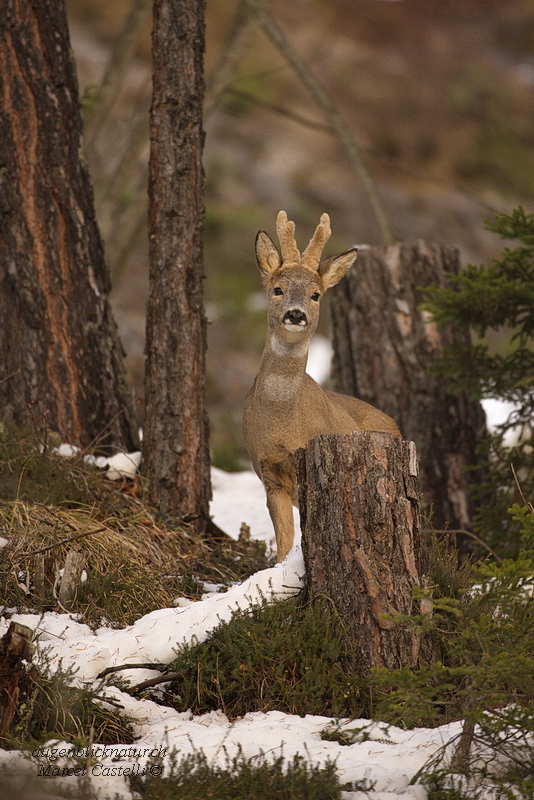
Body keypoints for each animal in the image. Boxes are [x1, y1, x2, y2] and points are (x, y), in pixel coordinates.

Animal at [243, 212, 402, 564]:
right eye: (278, 289)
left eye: (315, 295)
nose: (295, 314)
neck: (283, 422)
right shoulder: (268, 471)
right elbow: (284, 544)